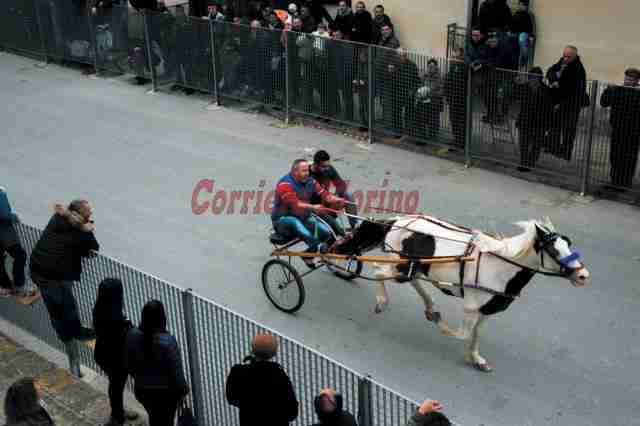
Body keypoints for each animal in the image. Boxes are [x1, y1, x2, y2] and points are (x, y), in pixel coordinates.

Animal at [344, 215, 592, 372]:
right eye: (553, 250)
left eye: (568, 243)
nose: (583, 275)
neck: (501, 266)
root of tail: (399, 221)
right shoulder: (472, 308)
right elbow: (463, 334)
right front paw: (443, 327)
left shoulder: (487, 309)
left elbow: (477, 334)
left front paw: (476, 358)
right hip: (399, 265)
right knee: (378, 271)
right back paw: (382, 301)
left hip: (413, 267)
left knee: (412, 280)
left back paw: (430, 307)